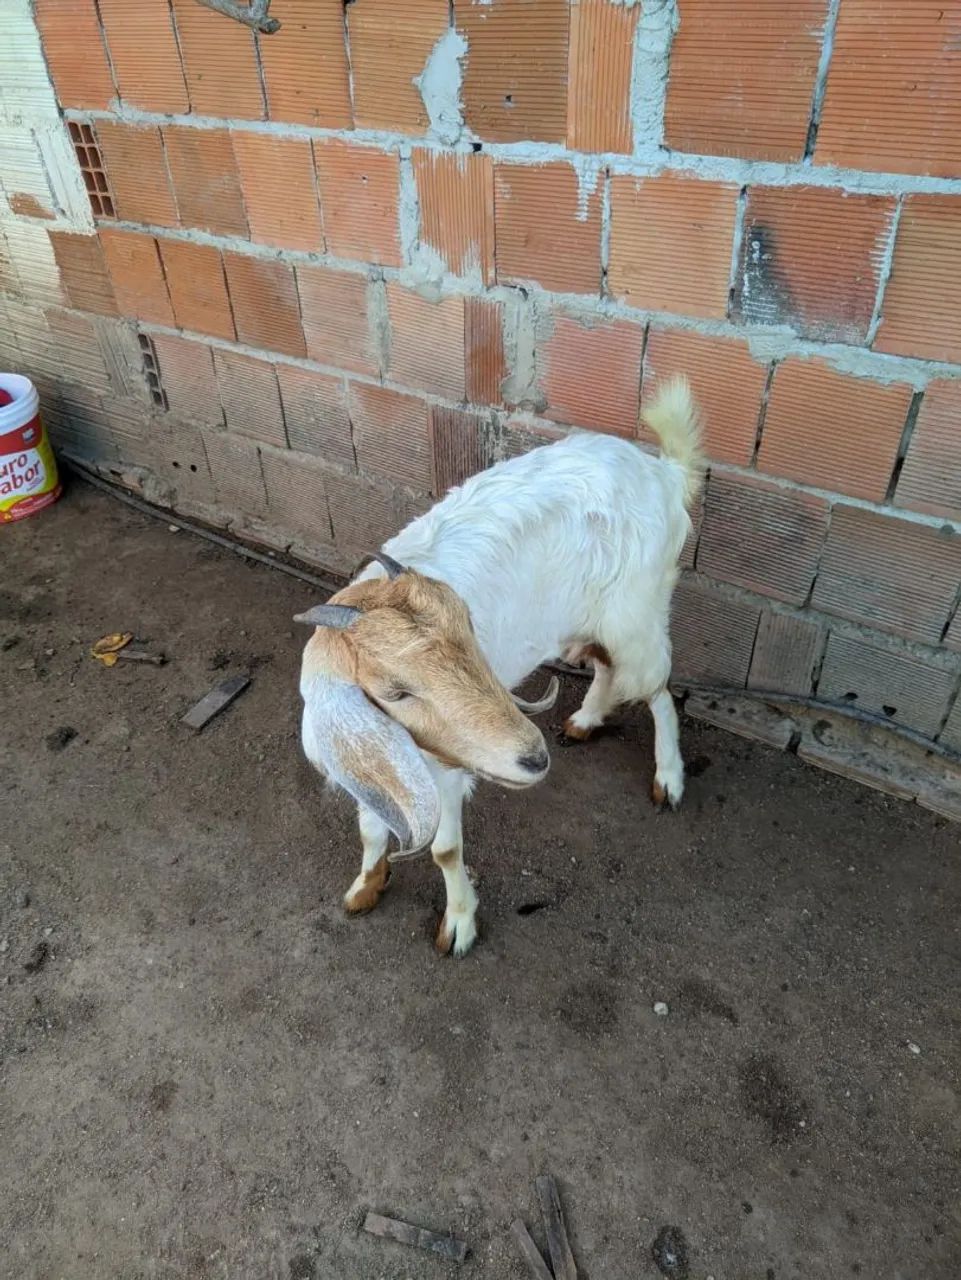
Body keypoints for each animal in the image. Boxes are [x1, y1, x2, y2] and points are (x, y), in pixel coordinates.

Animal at [297, 377, 704, 956]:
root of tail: (665, 474)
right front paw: (366, 885)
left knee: (657, 689)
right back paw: (585, 720)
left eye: (470, 630)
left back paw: (668, 778)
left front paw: (458, 925)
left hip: (637, 612)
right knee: (606, 666)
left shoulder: (445, 771)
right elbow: (372, 828)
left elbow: (444, 850)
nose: (533, 759)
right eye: (393, 692)